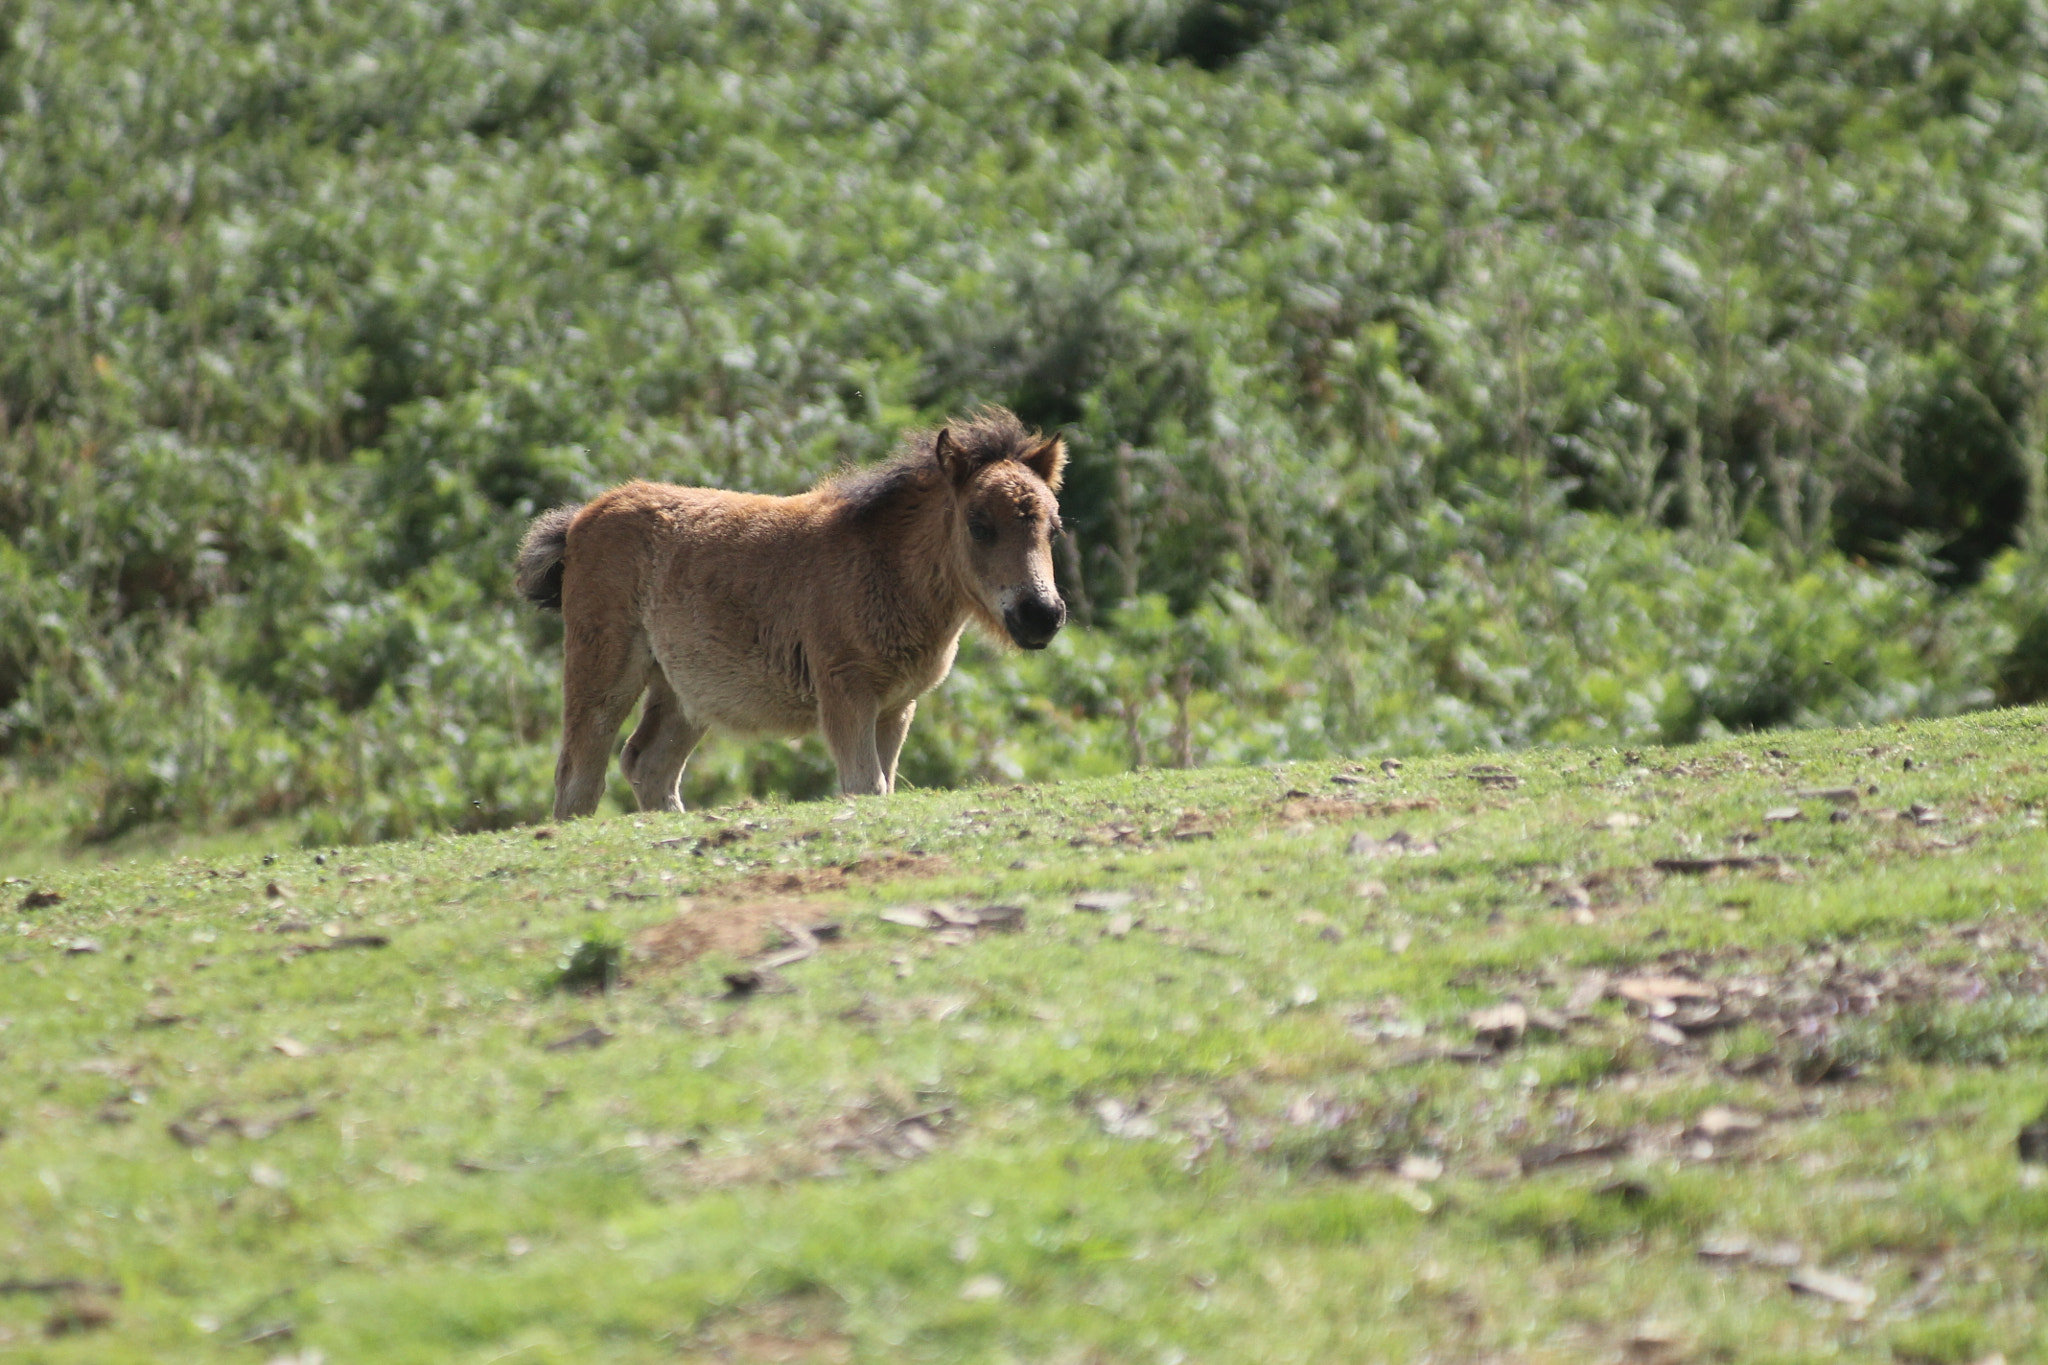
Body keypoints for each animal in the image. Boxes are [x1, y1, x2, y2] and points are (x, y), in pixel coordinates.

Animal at [512, 405, 1073, 810]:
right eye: (979, 524)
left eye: (1053, 528)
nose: (1040, 615)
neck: (884, 564)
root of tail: (582, 518)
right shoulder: (846, 691)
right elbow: (864, 785)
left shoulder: (897, 705)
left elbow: (883, 786)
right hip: (603, 669)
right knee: (579, 774)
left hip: (684, 691)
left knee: (648, 765)